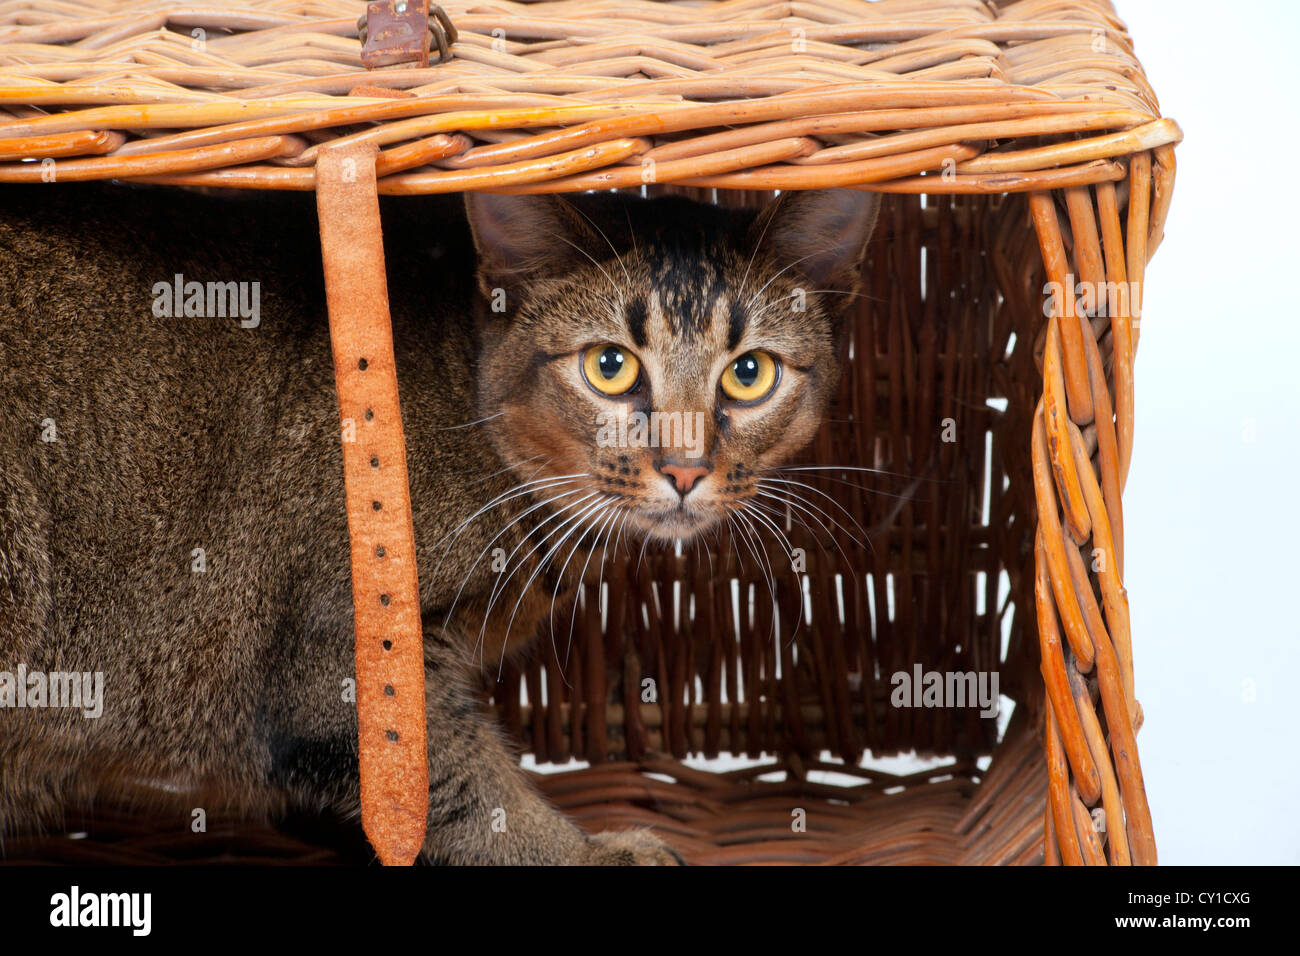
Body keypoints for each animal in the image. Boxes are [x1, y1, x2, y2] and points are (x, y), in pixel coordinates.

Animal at [0, 180, 878, 868]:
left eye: (750, 374)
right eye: (609, 367)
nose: (687, 469)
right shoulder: (348, 662)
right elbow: (466, 789)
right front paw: (580, 852)